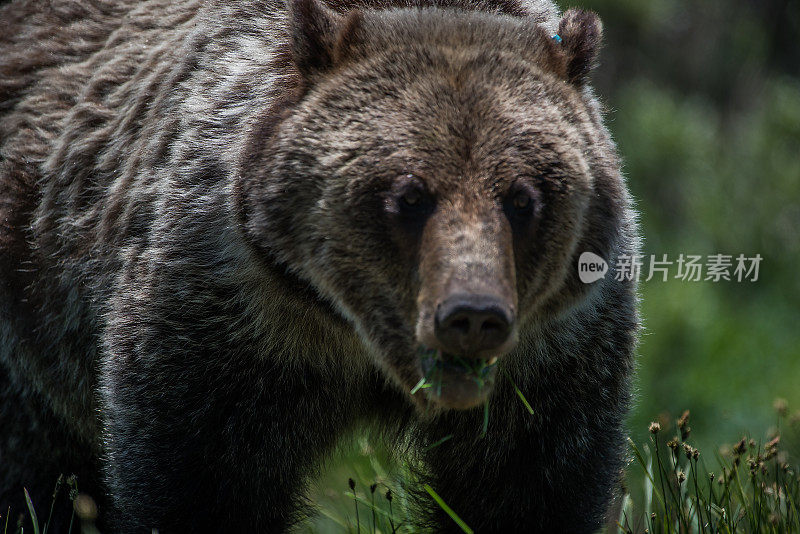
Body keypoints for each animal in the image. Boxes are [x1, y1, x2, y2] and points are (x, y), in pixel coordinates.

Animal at [0, 0, 636, 532]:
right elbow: (198, 480)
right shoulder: (225, 325)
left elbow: (529, 484)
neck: (352, 343)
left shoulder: (554, 355)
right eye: (409, 196)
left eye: (523, 199)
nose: (472, 315)